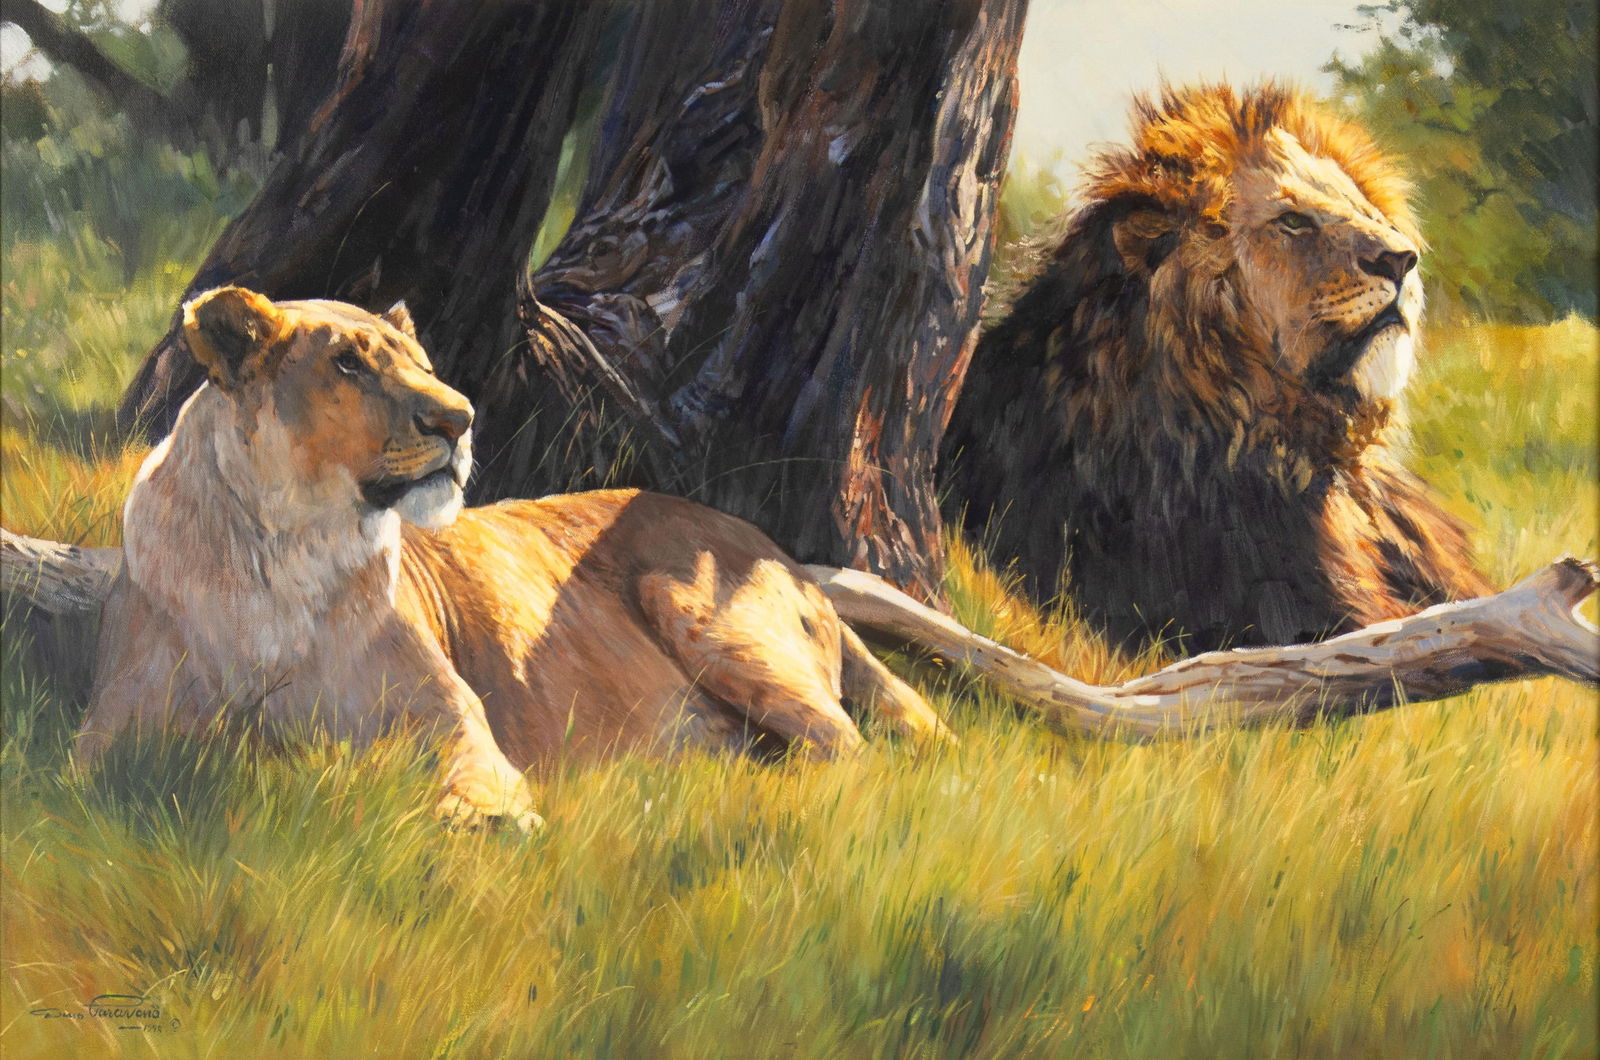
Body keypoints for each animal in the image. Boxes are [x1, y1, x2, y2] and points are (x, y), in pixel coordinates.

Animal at [80, 287, 946, 830]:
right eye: (347, 364)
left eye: (423, 364)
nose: (459, 417)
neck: (287, 547)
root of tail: (786, 557)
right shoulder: (112, 732)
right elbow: (98, 786)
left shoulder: (452, 716)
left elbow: (473, 771)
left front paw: (491, 819)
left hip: (711, 618)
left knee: (856, 759)